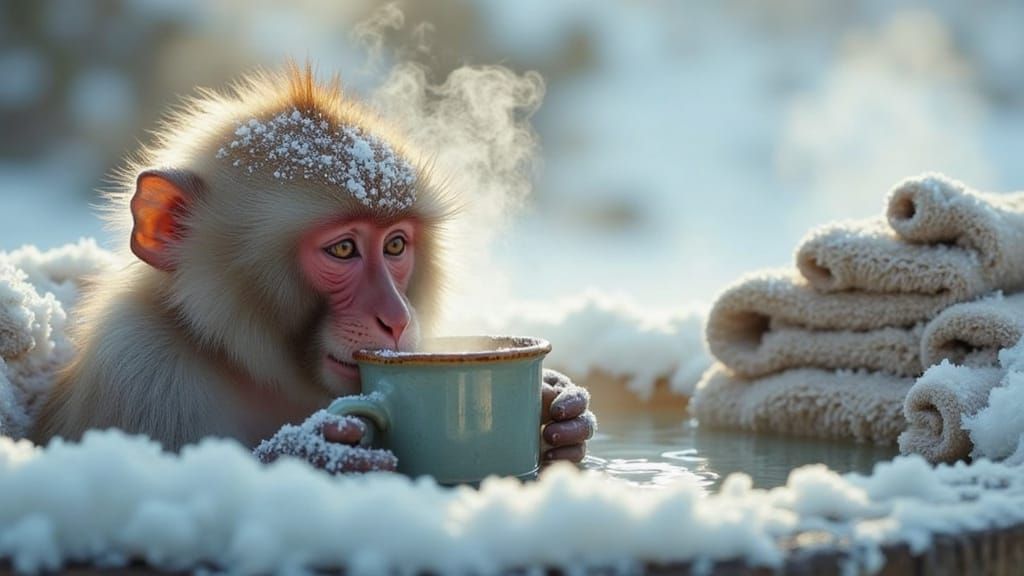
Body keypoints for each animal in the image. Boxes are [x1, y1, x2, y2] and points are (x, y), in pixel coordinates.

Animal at [29, 62, 594, 471]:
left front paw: (558, 412)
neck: (248, 365)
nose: (396, 318)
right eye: (343, 250)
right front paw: (315, 451)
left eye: (394, 245)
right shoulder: (140, 371)